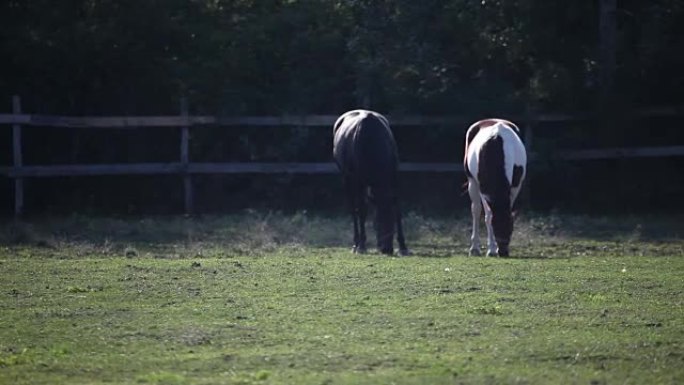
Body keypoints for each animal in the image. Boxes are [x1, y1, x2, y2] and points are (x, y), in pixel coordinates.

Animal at [334, 109, 408, 255]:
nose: (387, 249)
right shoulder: (358, 181)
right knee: (354, 209)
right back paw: (356, 243)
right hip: (347, 180)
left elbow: (398, 208)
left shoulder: (394, 178)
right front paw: (361, 245)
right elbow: (362, 210)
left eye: (391, 220)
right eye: (376, 222)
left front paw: (403, 247)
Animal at [462, 118, 528, 256]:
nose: (503, 252)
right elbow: (488, 215)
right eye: (495, 225)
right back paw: (474, 248)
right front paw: (491, 249)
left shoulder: (515, 187)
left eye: (511, 227)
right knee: (476, 210)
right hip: (472, 182)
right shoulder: (483, 188)